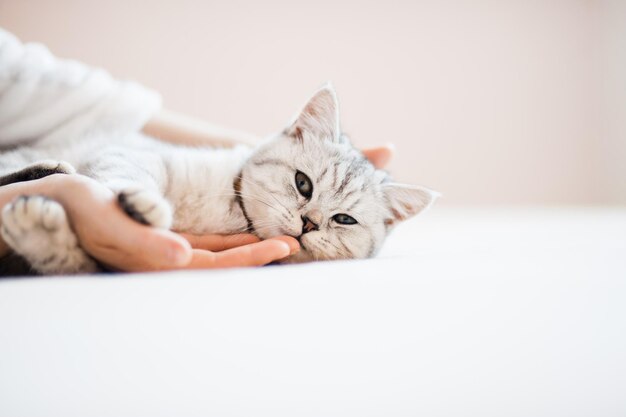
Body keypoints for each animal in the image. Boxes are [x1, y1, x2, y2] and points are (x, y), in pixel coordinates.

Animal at [0, 84, 436, 272]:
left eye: (344, 220)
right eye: (303, 183)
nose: (309, 223)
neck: (231, 216)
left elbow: (70, 261)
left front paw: (39, 230)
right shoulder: (132, 153)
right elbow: (128, 174)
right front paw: (142, 203)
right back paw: (50, 169)